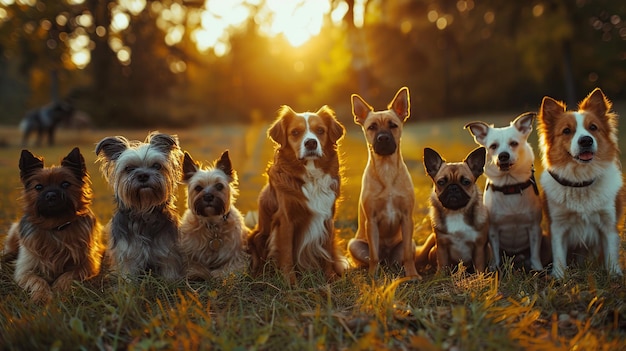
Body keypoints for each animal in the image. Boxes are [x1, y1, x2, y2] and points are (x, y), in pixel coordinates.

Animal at [247, 105, 346, 286]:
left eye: (320, 130)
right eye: (295, 132)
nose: (311, 142)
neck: (311, 176)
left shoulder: (327, 218)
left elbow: (327, 251)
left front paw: (330, 277)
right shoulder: (286, 221)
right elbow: (286, 254)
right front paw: (290, 283)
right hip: (257, 236)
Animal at [346, 86, 420, 280]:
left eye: (393, 125)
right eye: (372, 127)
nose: (383, 138)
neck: (386, 169)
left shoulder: (407, 218)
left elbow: (408, 256)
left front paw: (413, 274)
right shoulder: (371, 221)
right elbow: (373, 256)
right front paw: (373, 276)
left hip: (410, 242)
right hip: (353, 244)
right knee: (372, 258)